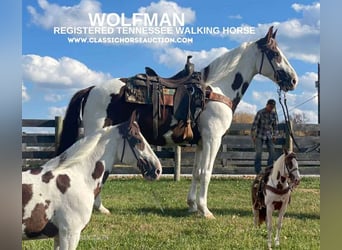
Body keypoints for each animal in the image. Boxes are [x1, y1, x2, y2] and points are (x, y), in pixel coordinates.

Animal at [57, 25, 298, 217]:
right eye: (275, 53)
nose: (294, 80)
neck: (217, 91)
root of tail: (91, 89)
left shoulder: (201, 143)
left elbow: (196, 173)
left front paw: (192, 205)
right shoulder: (213, 140)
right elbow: (206, 173)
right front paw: (205, 210)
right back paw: (98, 207)